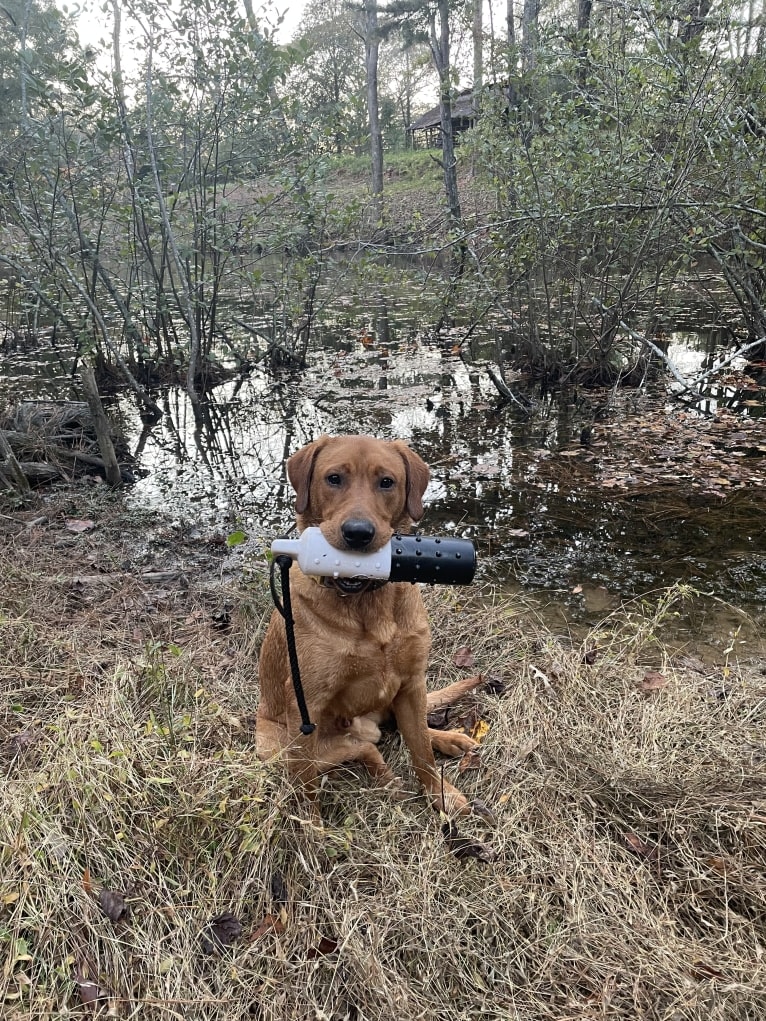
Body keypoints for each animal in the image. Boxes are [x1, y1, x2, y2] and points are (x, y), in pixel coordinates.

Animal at [258, 434, 486, 816]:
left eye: (386, 482)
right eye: (334, 479)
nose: (358, 534)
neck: (366, 604)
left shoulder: (411, 683)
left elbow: (421, 752)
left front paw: (439, 793)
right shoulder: (307, 704)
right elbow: (306, 789)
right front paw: (311, 826)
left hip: (399, 699)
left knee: (410, 732)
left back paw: (447, 739)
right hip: (277, 744)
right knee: (364, 750)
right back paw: (389, 782)